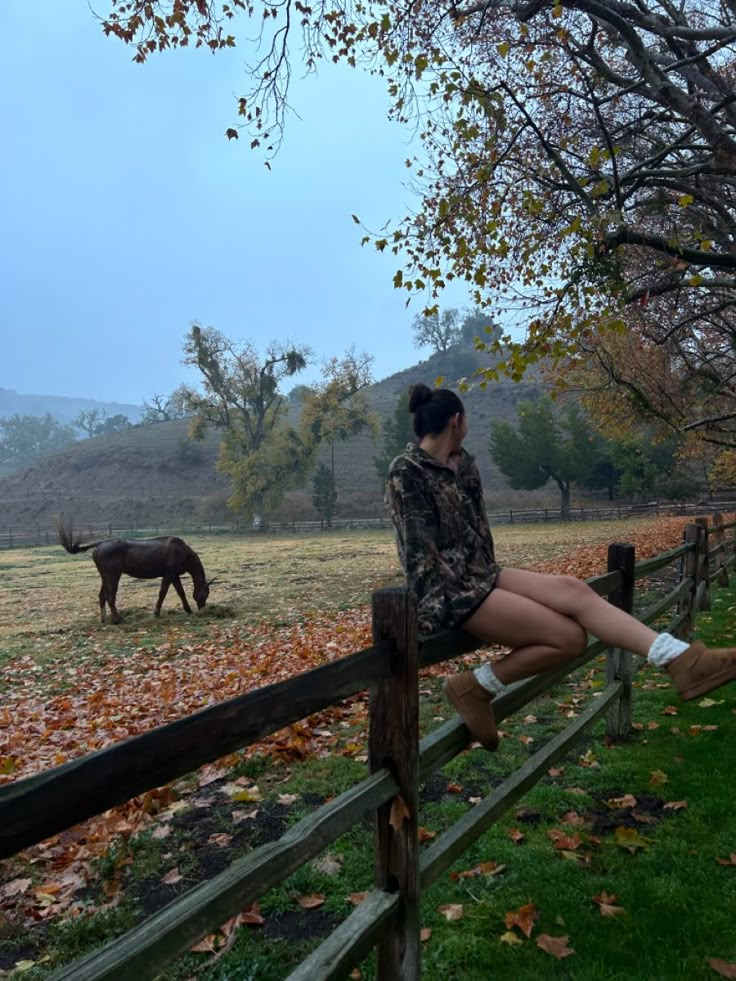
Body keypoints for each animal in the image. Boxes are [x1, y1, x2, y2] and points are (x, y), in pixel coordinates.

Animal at [56, 516, 213, 624]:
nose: (202, 608)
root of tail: (101, 543)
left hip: (105, 577)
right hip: (113, 576)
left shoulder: (174, 576)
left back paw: (104, 619)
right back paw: (117, 619)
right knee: (110, 597)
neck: (183, 552)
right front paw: (156, 612)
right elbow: (162, 593)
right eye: (206, 593)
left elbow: (181, 593)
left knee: (101, 596)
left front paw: (188, 610)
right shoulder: (169, 575)